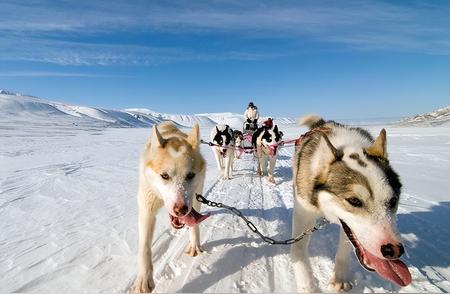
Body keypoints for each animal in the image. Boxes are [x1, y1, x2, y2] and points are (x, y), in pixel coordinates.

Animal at [133, 121, 210, 292]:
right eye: (165, 176)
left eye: (190, 175)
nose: (181, 209)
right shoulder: (147, 209)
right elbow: (144, 247)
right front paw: (143, 278)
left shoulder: (195, 200)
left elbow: (194, 225)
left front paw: (194, 244)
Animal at [292, 114, 412, 292]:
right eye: (354, 200)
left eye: (393, 200)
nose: (394, 250)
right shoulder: (304, 212)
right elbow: (298, 252)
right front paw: (307, 286)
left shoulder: (349, 228)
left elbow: (344, 251)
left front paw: (339, 279)